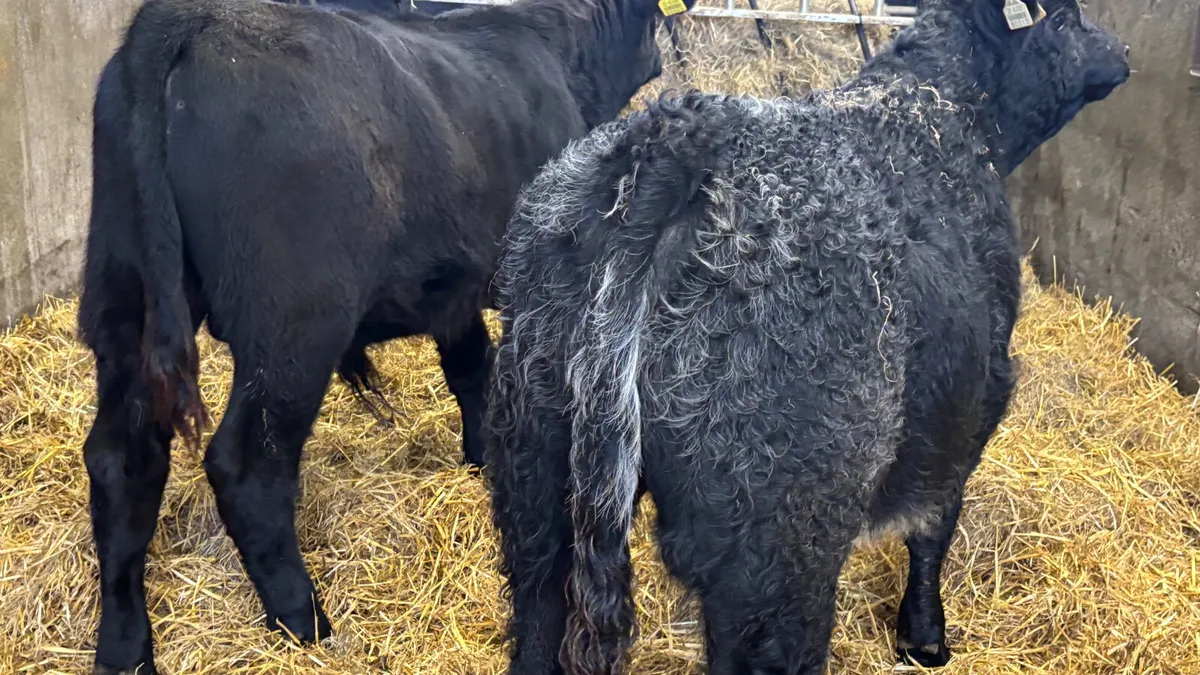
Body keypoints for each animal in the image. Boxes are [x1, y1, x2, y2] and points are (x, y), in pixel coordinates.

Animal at [78, 0, 697, 671]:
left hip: (123, 299)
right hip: (293, 326)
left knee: (122, 459)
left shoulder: (455, 286)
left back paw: (125, 643)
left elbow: (471, 372)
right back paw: (303, 619)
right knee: (246, 467)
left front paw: (479, 458)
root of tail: (194, 21)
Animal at [484, 1, 1130, 673]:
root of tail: (676, 139)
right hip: (779, 542)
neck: (936, 108)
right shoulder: (971, 398)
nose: (1124, 52)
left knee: (538, 616)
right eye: (1065, 18)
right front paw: (925, 634)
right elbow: (935, 522)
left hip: (534, 482)